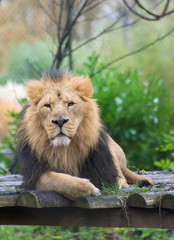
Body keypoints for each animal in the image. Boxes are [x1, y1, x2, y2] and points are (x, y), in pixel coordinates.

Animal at [16, 70, 154, 201]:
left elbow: (112, 181)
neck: (65, 151)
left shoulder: (107, 171)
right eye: (47, 106)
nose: (60, 121)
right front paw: (87, 188)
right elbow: (53, 178)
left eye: (70, 103)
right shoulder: (33, 175)